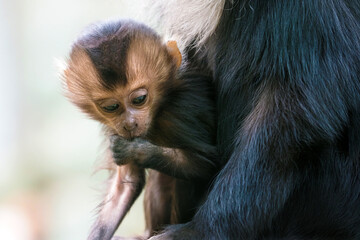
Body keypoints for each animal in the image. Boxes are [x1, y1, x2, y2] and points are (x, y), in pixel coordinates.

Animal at [63, 20, 217, 240]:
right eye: (111, 107)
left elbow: (207, 165)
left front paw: (135, 150)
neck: (159, 110)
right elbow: (126, 184)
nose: (129, 124)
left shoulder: (182, 112)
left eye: (139, 99)